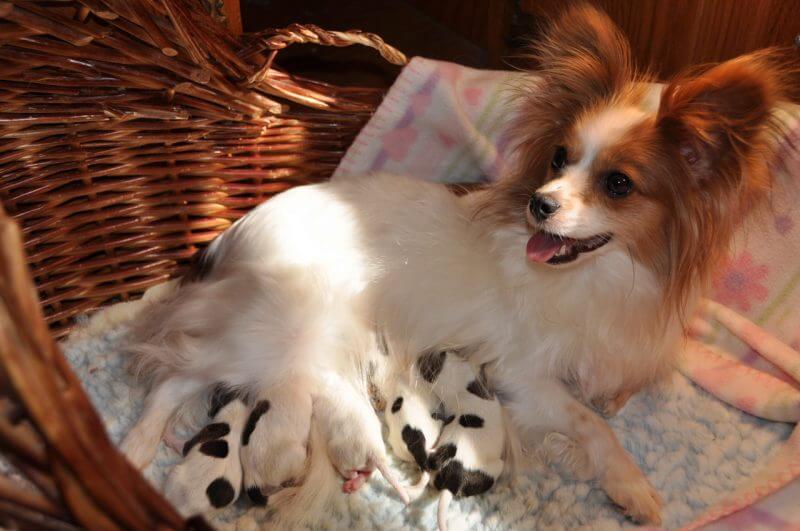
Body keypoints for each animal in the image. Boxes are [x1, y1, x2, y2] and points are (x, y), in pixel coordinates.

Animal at [162, 388, 247, 516]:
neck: (235, 422)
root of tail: (185, 510)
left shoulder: (196, 438)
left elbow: (182, 444)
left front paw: (167, 431)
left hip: (175, 473)